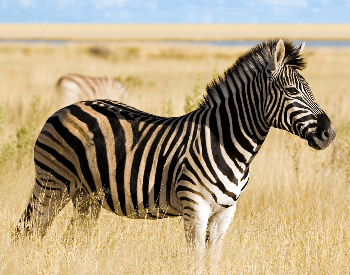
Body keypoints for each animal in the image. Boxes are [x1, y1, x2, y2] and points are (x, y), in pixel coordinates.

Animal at [17, 39, 336, 274]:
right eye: (292, 91)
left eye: (310, 89)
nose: (329, 133)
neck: (225, 141)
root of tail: (68, 106)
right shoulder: (195, 207)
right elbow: (195, 262)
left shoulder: (225, 213)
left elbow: (212, 261)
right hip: (53, 183)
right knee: (29, 230)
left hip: (86, 196)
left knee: (72, 239)